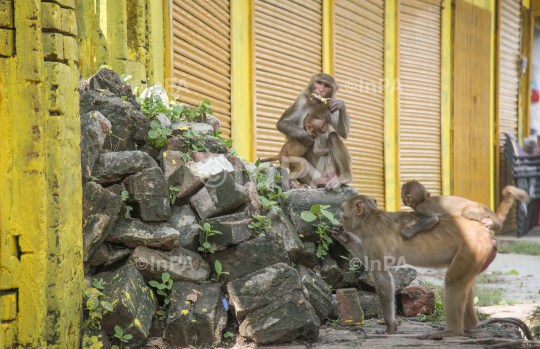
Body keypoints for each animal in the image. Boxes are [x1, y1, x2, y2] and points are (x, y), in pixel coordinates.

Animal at [332, 194, 516, 338]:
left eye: (344, 209)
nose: (341, 217)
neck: (369, 217)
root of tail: (487, 235)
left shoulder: (373, 236)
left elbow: (382, 276)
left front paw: (390, 326)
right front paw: (344, 237)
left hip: (473, 249)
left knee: (453, 281)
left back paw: (452, 331)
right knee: (465, 284)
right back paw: (469, 325)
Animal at [398, 179, 528, 239]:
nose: (403, 199)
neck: (423, 200)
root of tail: (478, 204)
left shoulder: (421, 208)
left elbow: (433, 219)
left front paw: (409, 231)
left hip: (474, 209)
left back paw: (488, 221)